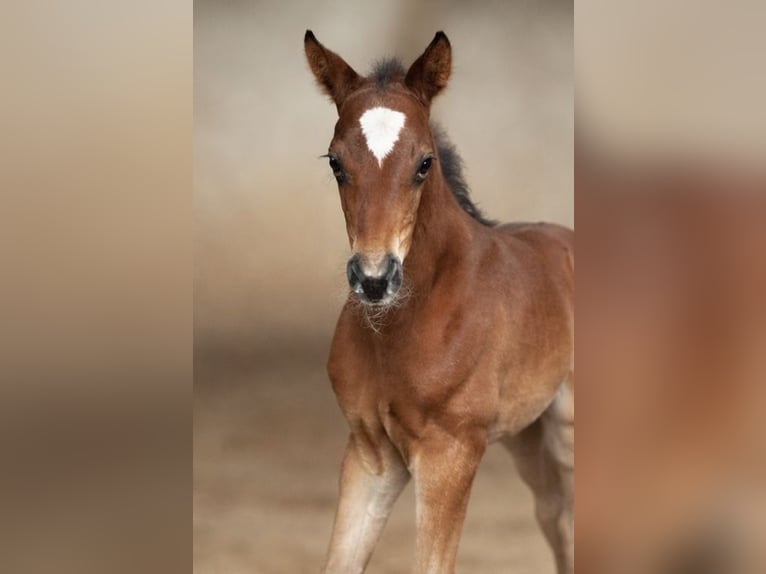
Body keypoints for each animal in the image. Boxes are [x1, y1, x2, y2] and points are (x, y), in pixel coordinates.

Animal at [304, 30, 574, 574]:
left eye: (424, 163)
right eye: (336, 163)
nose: (374, 279)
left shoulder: (450, 452)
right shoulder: (370, 453)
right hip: (530, 435)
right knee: (557, 518)